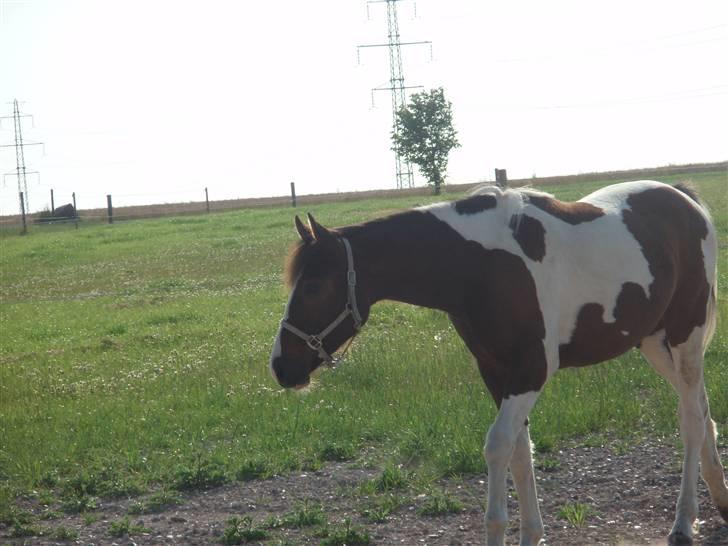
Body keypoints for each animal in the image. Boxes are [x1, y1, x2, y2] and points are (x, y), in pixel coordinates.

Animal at [270, 180, 724, 544]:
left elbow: (498, 446)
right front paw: (532, 533)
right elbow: (520, 452)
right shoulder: (495, 372)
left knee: (689, 419)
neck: (480, 266)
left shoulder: (531, 372)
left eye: (313, 287)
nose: (281, 366)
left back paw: (684, 522)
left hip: (685, 336)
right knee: (702, 409)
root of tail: (684, 199)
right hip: (653, 342)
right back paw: (720, 497)